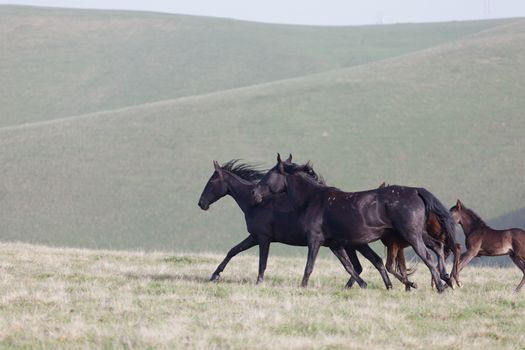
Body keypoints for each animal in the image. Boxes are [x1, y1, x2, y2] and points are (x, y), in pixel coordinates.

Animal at [199, 158, 390, 288]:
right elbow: (233, 251)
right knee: (367, 264)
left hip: (352, 245)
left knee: (362, 265)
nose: (201, 203)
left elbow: (262, 262)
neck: (256, 204)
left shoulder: (263, 237)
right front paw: (215, 275)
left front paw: (259, 282)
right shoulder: (254, 237)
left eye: (211, 181)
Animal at [252, 154, 456, 292]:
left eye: (268, 174)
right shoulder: (335, 244)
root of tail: (415, 191)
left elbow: (310, 266)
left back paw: (440, 286)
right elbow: (349, 266)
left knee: (427, 257)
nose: (255, 194)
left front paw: (302, 287)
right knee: (438, 246)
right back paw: (446, 278)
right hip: (418, 233)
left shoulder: (315, 240)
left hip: (411, 235)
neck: (313, 200)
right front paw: (366, 285)